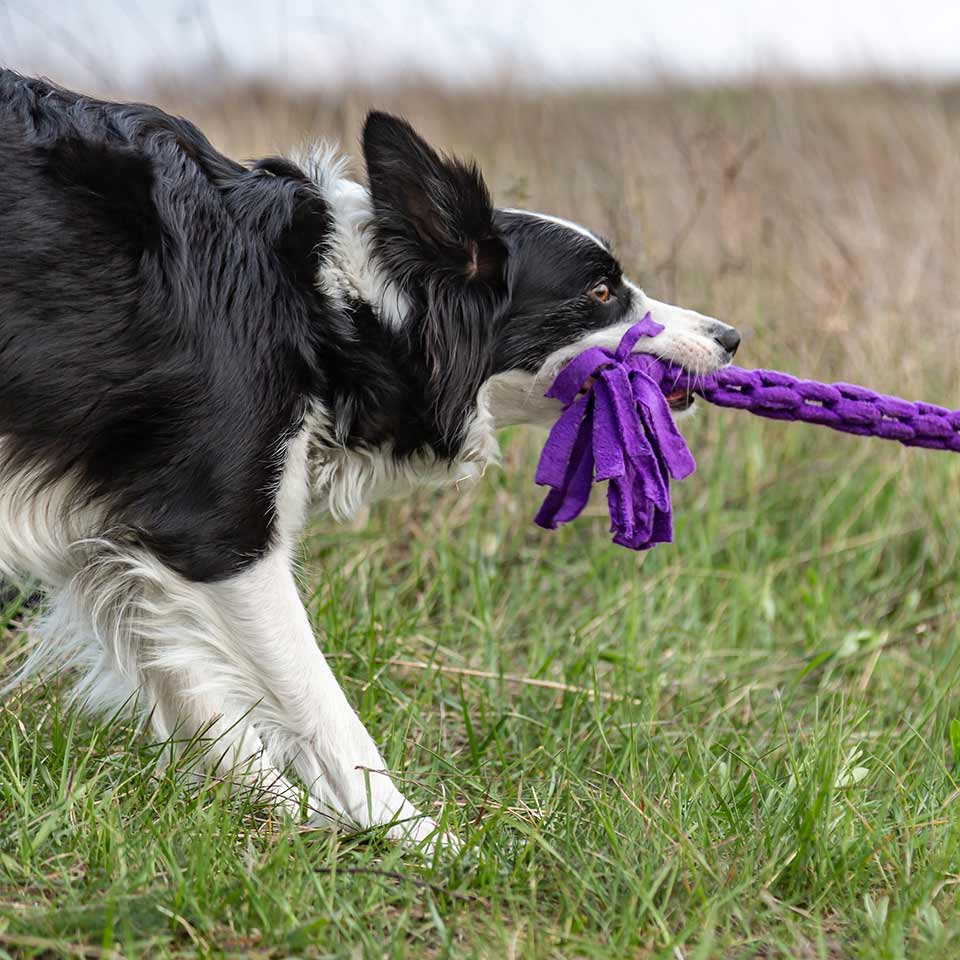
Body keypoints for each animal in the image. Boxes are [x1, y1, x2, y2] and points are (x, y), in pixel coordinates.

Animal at [0, 71, 744, 852]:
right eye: (601, 292)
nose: (731, 338)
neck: (342, 314)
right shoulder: (219, 531)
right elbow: (321, 709)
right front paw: (419, 839)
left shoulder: (118, 536)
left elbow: (204, 705)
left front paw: (288, 820)